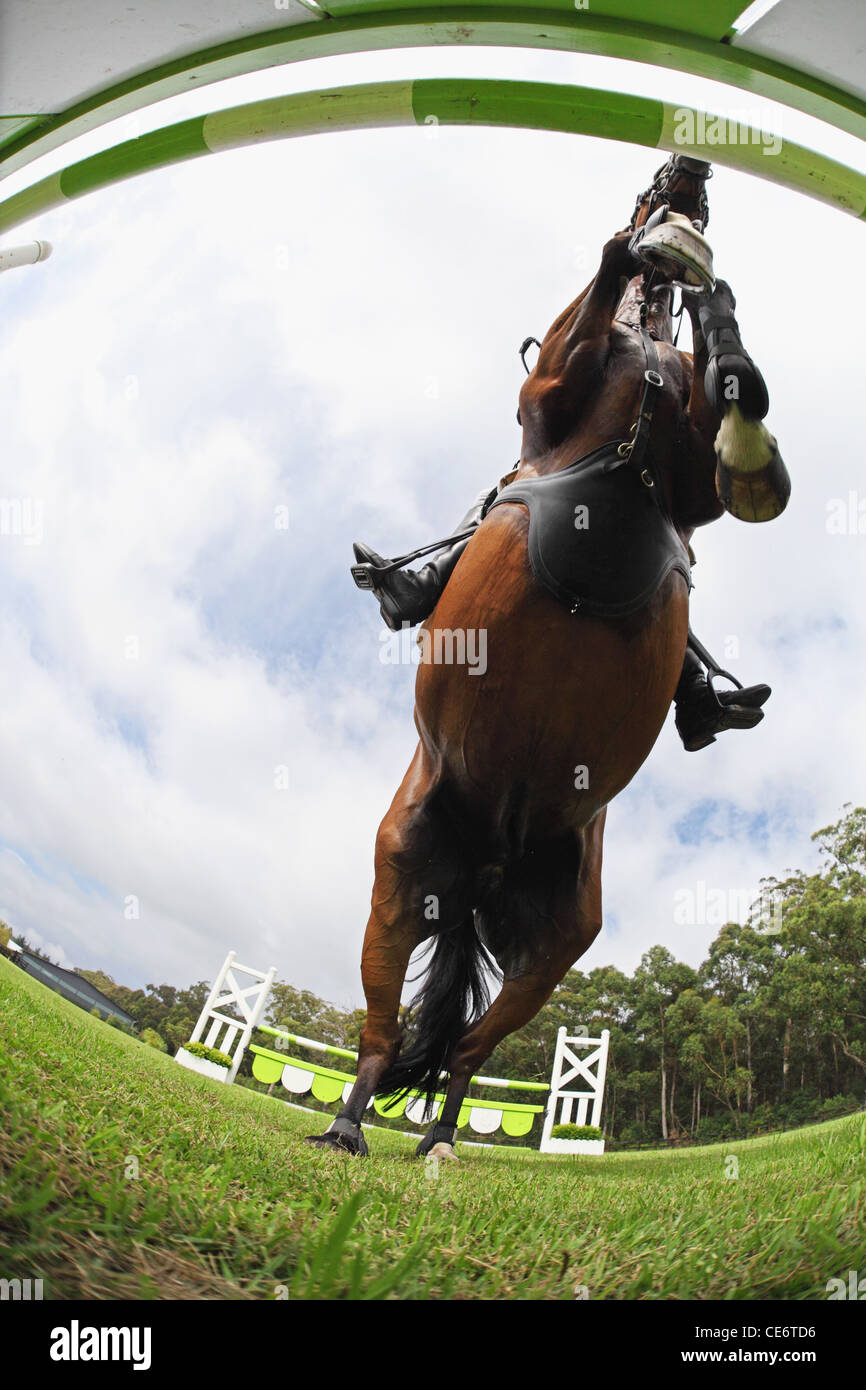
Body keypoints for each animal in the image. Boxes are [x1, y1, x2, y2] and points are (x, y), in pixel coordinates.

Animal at [308, 152, 789, 1156]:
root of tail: (488, 859)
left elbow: (736, 396)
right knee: (380, 1031)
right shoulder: (553, 399)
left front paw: (719, 327)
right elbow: (597, 287)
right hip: (401, 881)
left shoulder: (695, 487)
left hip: (559, 943)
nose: (692, 169)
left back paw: (441, 1140)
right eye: (652, 180)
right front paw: (644, 255)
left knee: (466, 1050)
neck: (644, 369)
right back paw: (346, 1125)